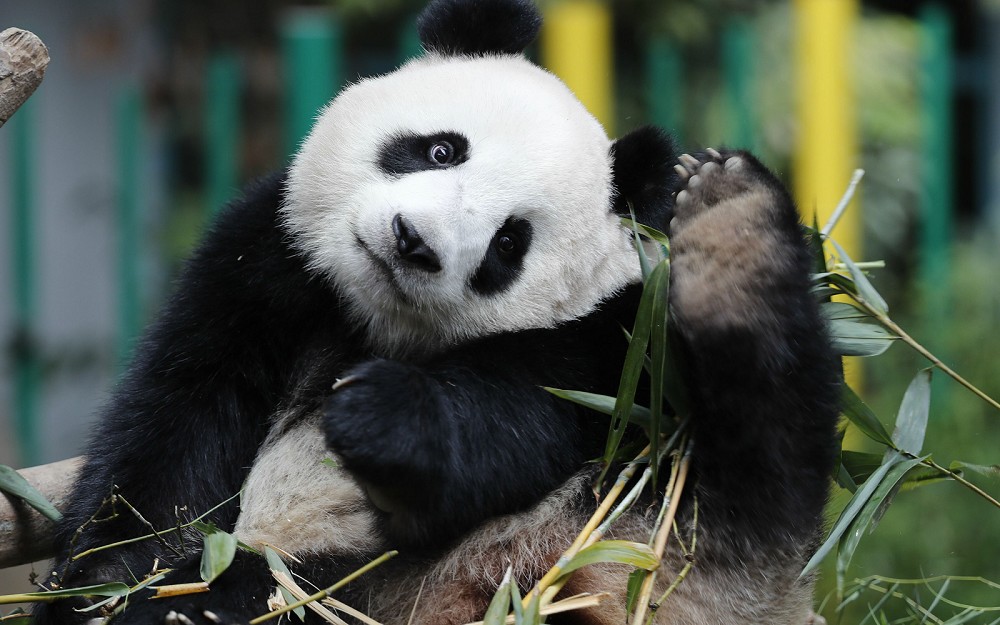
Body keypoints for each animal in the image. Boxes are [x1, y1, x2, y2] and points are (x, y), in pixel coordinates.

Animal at [35, 1, 840, 624]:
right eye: (442, 149)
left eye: (510, 241)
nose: (413, 243)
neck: (371, 321)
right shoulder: (263, 264)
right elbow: (180, 429)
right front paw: (120, 587)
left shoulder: (600, 342)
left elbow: (514, 421)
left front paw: (382, 415)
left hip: (649, 502)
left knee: (769, 445)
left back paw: (733, 231)